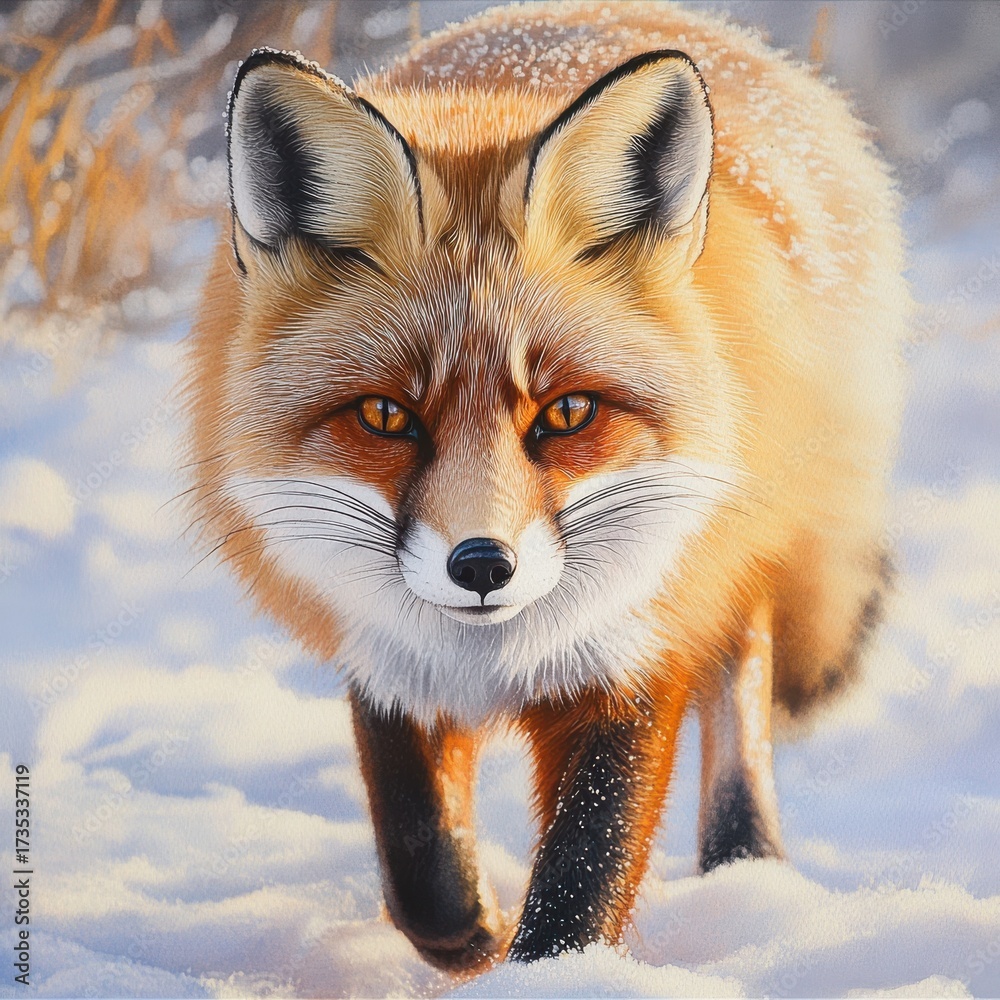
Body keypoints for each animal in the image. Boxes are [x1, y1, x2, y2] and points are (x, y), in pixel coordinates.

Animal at [186, 0, 908, 973]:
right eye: (385, 416)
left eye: (566, 413)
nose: (481, 566)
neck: (496, 654)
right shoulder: (384, 648)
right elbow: (419, 858)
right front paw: (473, 936)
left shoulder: (635, 646)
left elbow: (583, 873)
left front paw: (550, 971)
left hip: (739, 550)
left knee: (742, 680)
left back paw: (746, 865)